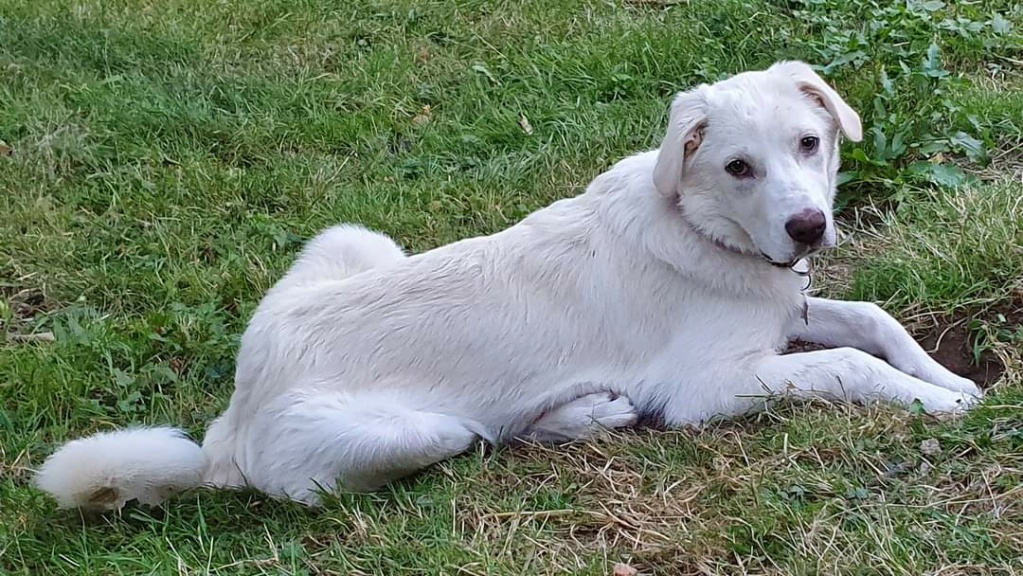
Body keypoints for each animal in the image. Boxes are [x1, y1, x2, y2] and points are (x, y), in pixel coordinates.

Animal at [37, 61, 982, 513]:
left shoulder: (789, 310)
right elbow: (845, 366)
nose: (808, 229)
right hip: (419, 432)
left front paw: (951, 378)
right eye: (737, 167)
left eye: (808, 144)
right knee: (489, 436)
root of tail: (228, 427)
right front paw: (934, 404)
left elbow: (872, 319)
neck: (704, 230)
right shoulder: (708, 386)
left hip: (353, 239)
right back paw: (584, 413)